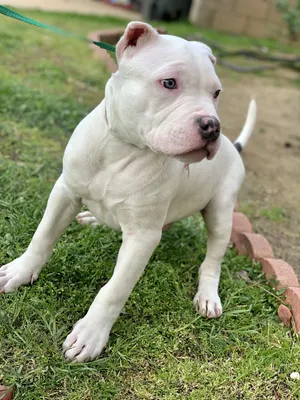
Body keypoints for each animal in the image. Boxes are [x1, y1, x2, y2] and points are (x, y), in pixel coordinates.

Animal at [1, 23, 256, 364]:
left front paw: (91, 334)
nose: (212, 126)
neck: (122, 148)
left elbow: (114, 289)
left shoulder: (142, 237)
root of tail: (232, 145)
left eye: (216, 93)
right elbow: (42, 237)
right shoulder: (65, 191)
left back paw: (207, 295)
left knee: (212, 259)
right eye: (169, 82)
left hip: (221, 211)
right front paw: (19, 272)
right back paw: (93, 219)